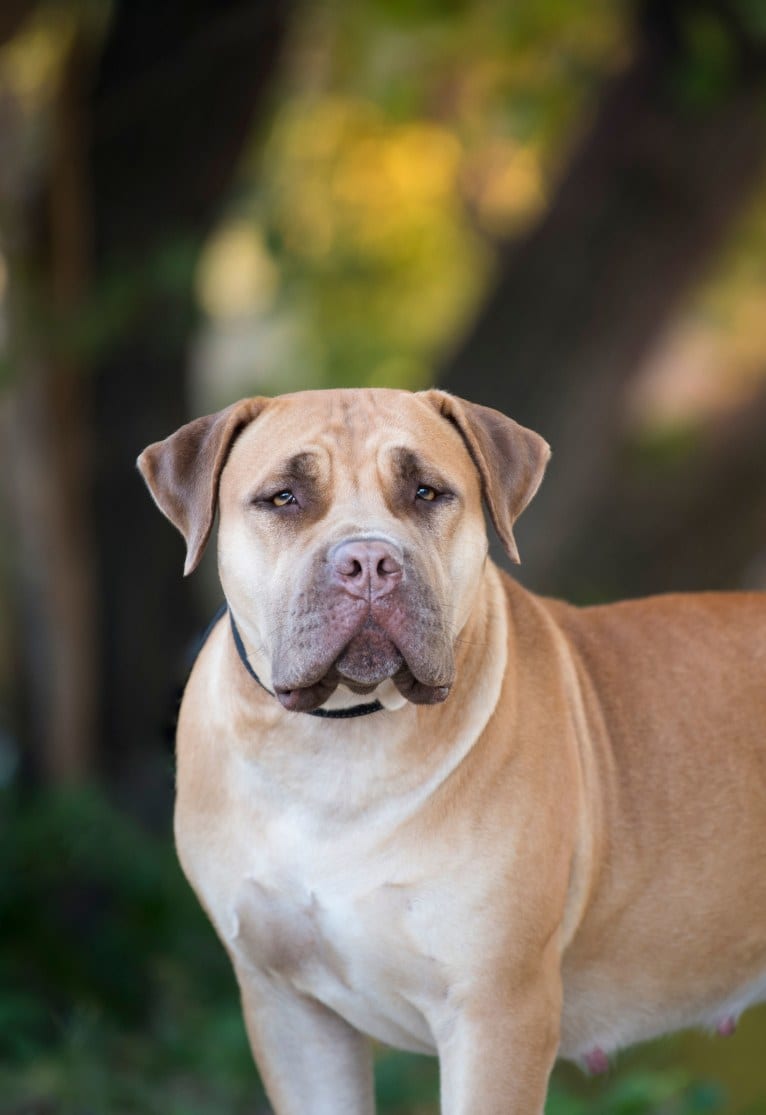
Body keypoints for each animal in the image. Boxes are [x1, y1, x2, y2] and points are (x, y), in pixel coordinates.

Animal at [137, 390, 766, 1115]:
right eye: (284, 497)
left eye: (427, 492)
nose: (369, 562)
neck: (340, 745)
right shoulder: (290, 1012)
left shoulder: (496, 1011)